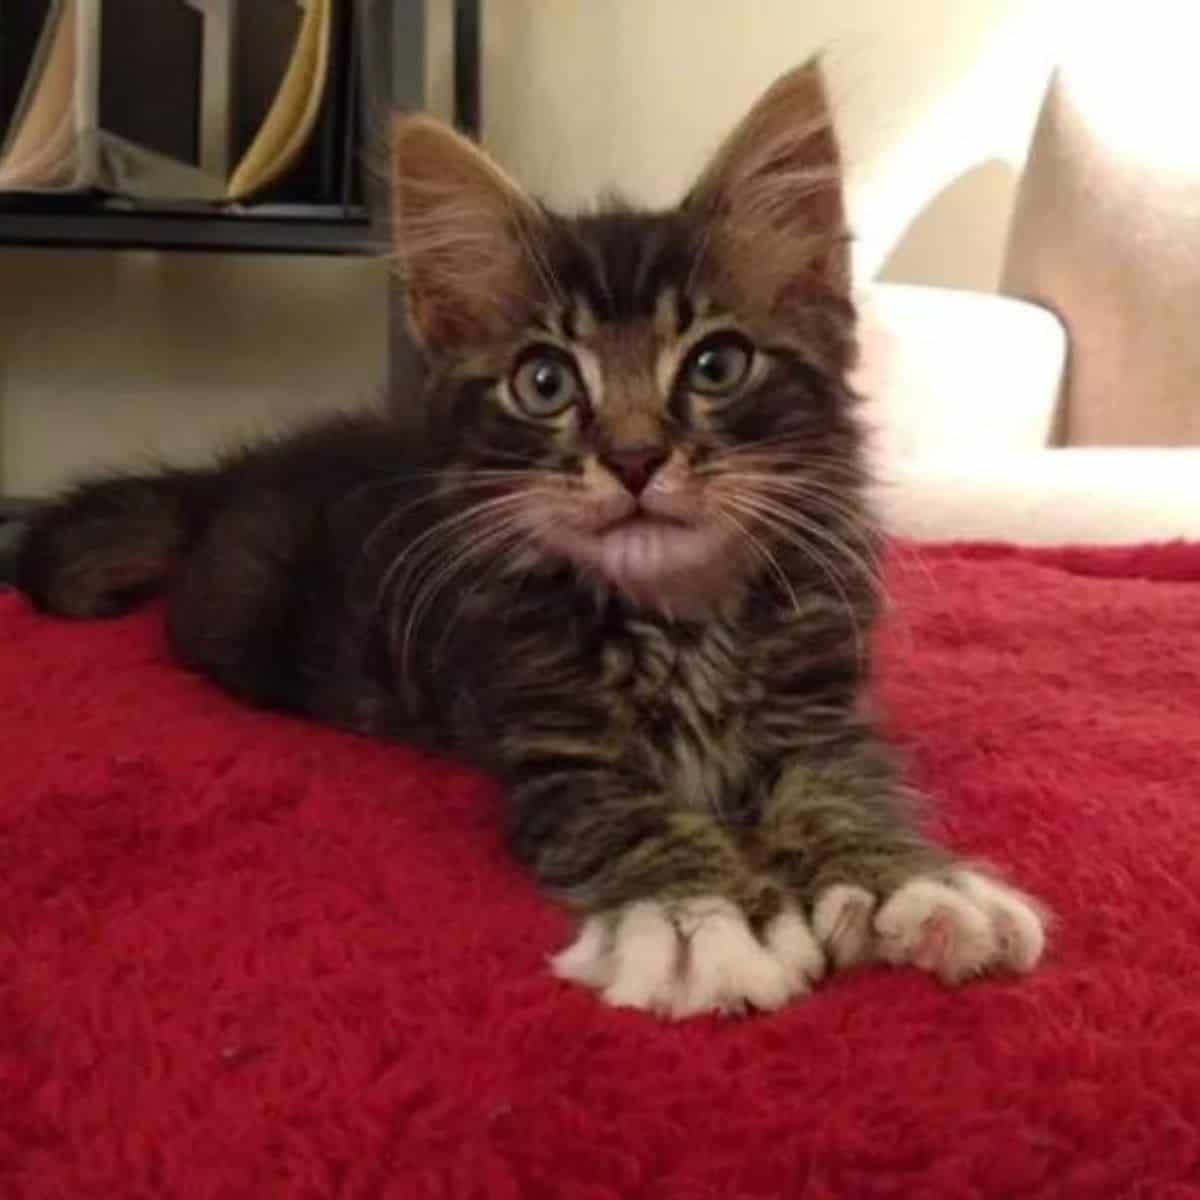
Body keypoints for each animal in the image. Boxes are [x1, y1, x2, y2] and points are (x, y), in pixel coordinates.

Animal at [21, 63, 1051, 1022]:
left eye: (717, 365)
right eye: (546, 383)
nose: (634, 458)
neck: (678, 623)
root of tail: (231, 476)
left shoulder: (825, 715)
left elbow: (853, 791)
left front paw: (914, 884)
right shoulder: (558, 750)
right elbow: (632, 822)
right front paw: (698, 922)